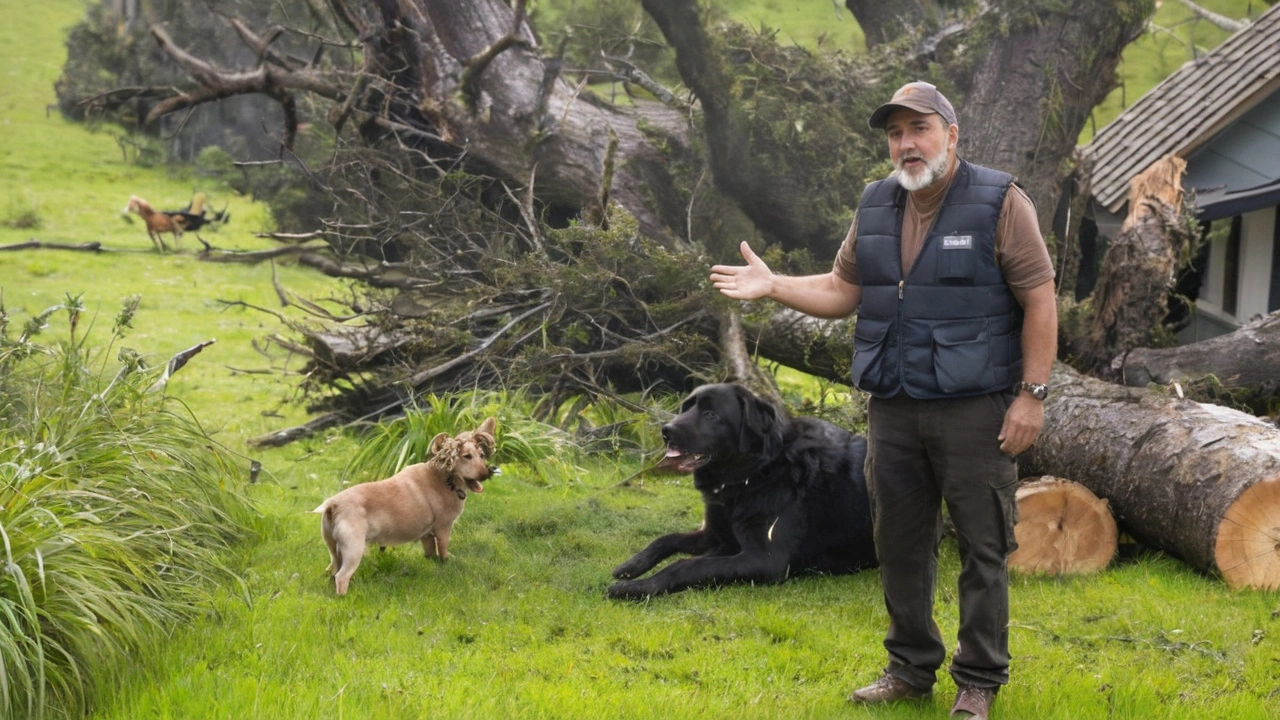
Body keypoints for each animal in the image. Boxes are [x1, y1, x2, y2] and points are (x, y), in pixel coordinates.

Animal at [317, 415, 496, 594]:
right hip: (353, 549)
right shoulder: (443, 527)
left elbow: (430, 550)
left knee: (334, 570)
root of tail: (333, 505)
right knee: (342, 576)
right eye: (466, 456)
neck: (445, 478)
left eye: (481, 455)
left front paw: (432, 561)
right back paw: (343, 595)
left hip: (333, 548)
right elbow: (443, 547)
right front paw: (447, 560)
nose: (486, 473)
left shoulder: (427, 534)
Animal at [604, 384, 875, 597]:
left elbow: (687, 565)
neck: (752, 474)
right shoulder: (716, 536)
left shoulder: (765, 559)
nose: (666, 431)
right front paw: (631, 566)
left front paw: (640, 587)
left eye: (710, 414)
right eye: (685, 408)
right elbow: (667, 539)